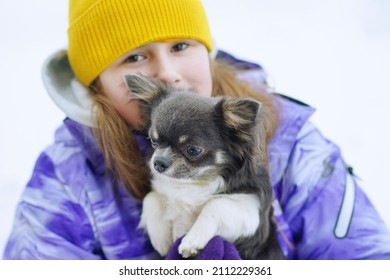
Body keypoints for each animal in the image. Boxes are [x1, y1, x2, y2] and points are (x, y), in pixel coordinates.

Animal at [126, 73, 284, 260]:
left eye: (193, 150)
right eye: (153, 141)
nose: (158, 162)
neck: (195, 182)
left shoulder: (253, 215)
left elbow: (216, 204)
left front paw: (192, 240)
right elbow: (150, 197)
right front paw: (161, 238)